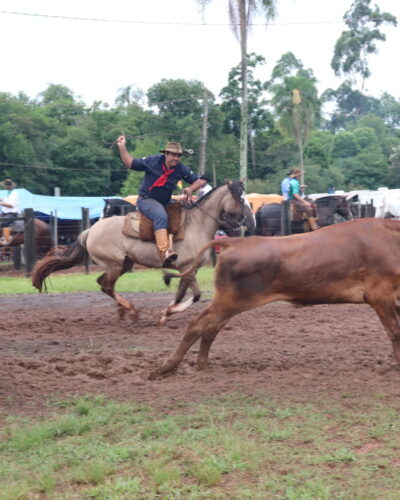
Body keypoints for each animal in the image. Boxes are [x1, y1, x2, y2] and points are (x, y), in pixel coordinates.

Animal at [32, 182, 255, 322]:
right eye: (241, 199)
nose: (252, 222)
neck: (197, 224)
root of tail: (91, 230)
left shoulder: (187, 270)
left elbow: (182, 294)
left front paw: (167, 312)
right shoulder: (187, 269)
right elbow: (197, 295)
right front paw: (168, 312)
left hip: (124, 264)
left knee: (103, 284)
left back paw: (123, 309)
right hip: (114, 265)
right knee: (106, 286)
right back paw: (131, 310)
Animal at [149, 219, 400, 378]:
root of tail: (235, 241)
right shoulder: (380, 295)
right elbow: (395, 331)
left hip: (229, 303)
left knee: (210, 328)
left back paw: (201, 365)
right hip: (229, 301)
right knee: (197, 325)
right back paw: (165, 367)